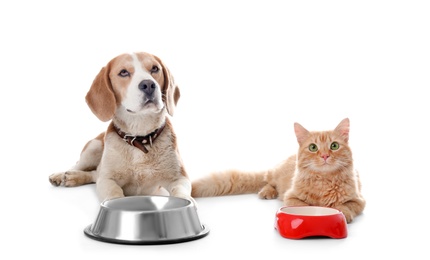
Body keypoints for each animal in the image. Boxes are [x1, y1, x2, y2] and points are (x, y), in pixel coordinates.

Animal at [48, 52, 193, 203]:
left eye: (155, 68)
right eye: (123, 72)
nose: (148, 84)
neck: (139, 137)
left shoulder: (180, 178)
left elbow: (180, 191)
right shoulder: (107, 179)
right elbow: (114, 192)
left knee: (93, 174)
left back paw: (74, 177)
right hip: (92, 149)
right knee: (79, 167)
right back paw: (62, 175)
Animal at [193, 119, 364, 222]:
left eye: (334, 146)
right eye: (313, 147)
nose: (324, 156)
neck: (324, 180)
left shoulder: (359, 200)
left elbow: (345, 205)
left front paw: (342, 213)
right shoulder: (291, 197)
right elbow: (305, 206)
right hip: (274, 178)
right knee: (268, 182)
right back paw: (266, 192)